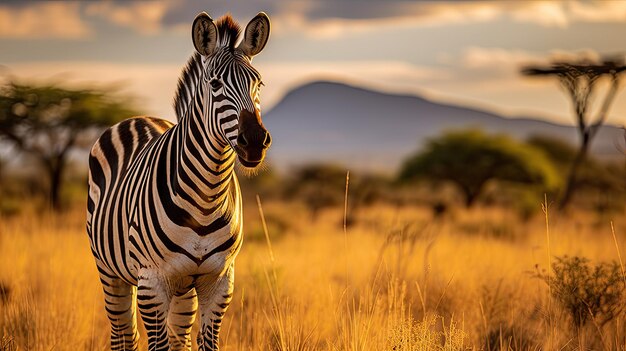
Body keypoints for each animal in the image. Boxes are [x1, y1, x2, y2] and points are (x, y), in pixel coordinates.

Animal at [87, 12, 270, 350]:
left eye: (258, 83)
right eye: (215, 84)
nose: (254, 142)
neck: (207, 199)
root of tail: (138, 118)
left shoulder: (219, 280)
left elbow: (207, 342)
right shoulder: (152, 282)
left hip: (184, 290)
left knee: (178, 337)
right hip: (109, 271)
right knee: (123, 334)